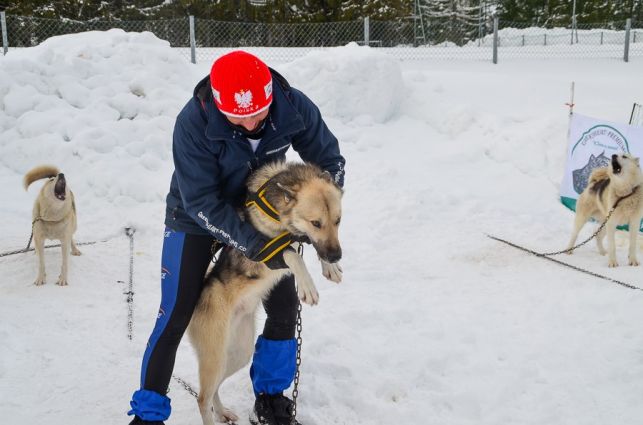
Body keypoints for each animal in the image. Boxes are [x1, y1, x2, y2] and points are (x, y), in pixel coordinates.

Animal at [189, 161, 344, 424]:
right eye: (316, 223)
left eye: (338, 220)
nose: (336, 256)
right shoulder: (265, 251)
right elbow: (291, 255)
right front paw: (307, 285)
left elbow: (311, 246)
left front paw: (329, 266)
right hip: (215, 358)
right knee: (201, 399)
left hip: (238, 354)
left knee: (214, 391)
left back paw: (222, 411)